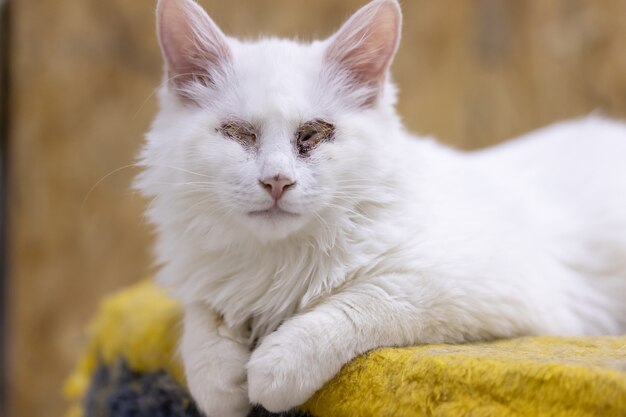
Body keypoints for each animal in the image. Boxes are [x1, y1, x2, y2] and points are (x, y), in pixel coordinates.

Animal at [135, 0, 624, 414]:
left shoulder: (471, 285)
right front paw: (221, 387)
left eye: (313, 134)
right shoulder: (205, 286)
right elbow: (203, 325)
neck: (279, 262)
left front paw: (273, 370)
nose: (277, 181)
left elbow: (355, 304)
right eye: (239, 134)